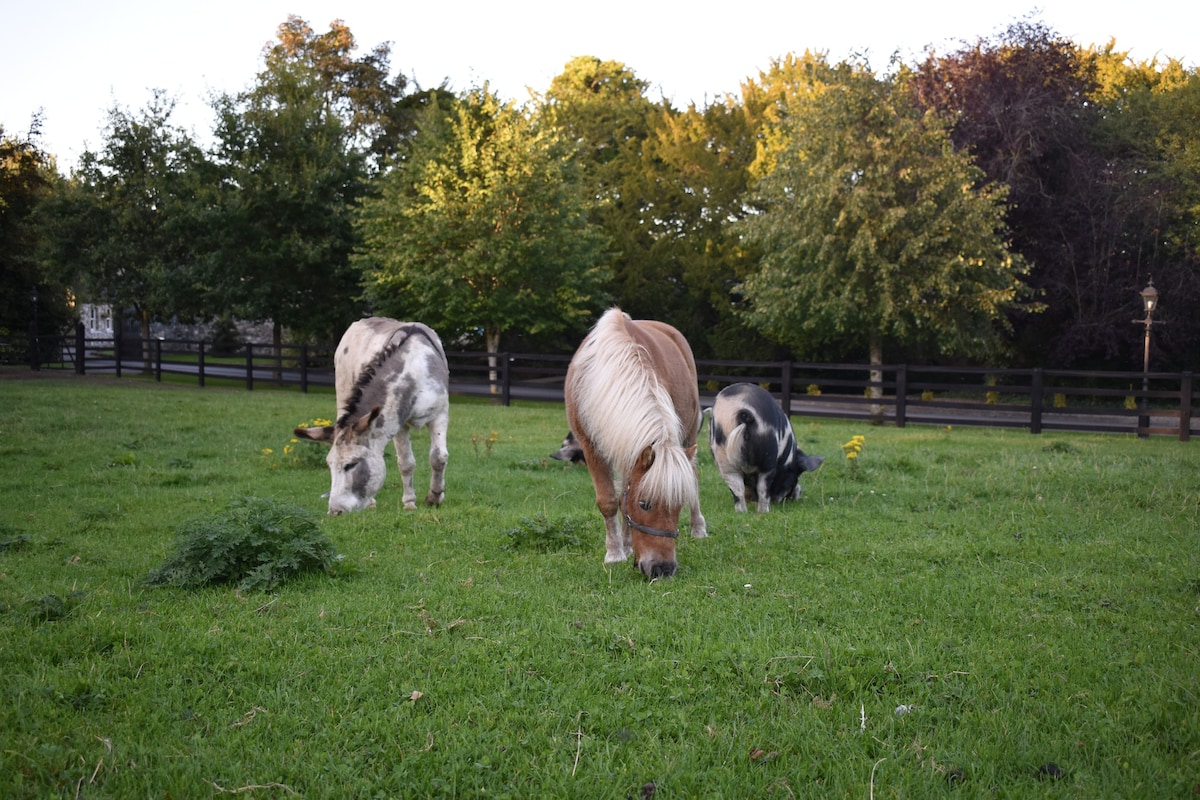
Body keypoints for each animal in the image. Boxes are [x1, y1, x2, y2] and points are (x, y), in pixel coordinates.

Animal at [294, 316, 451, 515]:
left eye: (351, 465)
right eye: (329, 465)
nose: (334, 512)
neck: (415, 370)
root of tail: (365, 319)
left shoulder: (440, 414)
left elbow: (439, 457)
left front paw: (435, 497)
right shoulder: (400, 423)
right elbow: (406, 463)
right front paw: (410, 502)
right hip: (343, 389)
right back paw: (371, 503)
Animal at [566, 307, 705, 575]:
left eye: (678, 506)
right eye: (644, 504)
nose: (663, 569)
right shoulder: (593, 447)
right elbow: (612, 501)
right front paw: (616, 552)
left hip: (690, 432)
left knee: (692, 474)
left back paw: (698, 527)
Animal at [705, 383, 820, 515]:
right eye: (795, 477)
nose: (799, 492)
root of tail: (745, 415)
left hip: (724, 460)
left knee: (737, 489)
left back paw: (742, 512)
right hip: (768, 457)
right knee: (763, 488)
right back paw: (764, 512)